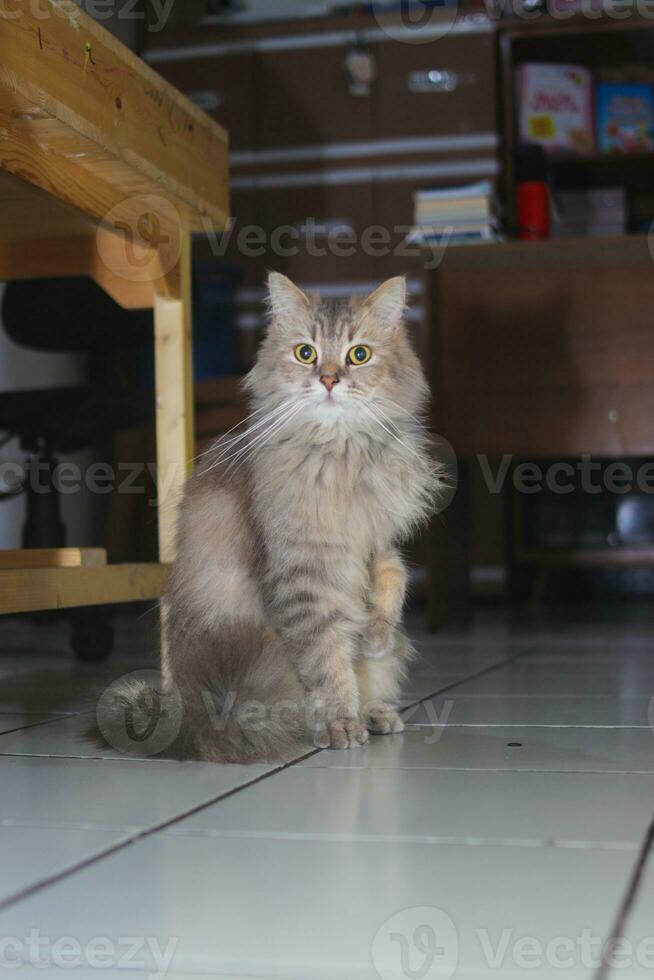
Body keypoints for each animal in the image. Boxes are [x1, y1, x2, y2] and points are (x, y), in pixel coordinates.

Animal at [97, 272, 444, 760]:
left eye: (359, 354)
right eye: (306, 353)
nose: (329, 380)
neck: (342, 456)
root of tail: (187, 716)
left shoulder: (377, 542)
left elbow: (397, 580)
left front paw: (376, 637)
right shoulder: (303, 581)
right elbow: (327, 663)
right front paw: (340, 723)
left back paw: (378, 714)